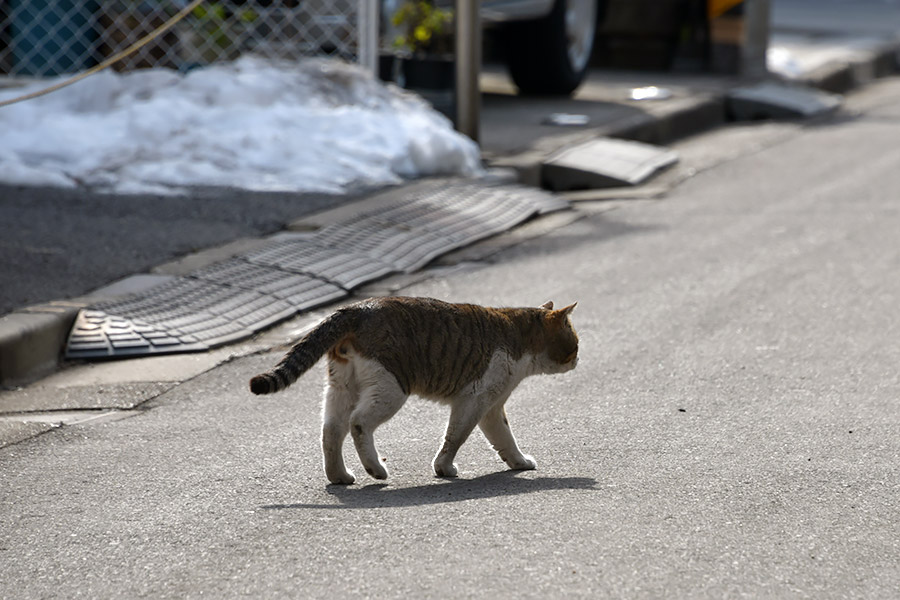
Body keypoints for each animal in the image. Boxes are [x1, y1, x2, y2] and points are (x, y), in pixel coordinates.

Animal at [250, 296, 580, 482]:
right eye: (575, 344)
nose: (579, 358)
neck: (517, 335)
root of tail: (357, 307)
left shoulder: (491, 408)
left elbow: (505, 439)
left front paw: (519, 463)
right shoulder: (474, 400)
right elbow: (455, 437)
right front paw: (444, 468)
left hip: (341, 387)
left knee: (331, 431)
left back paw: (339, 476)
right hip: (391, 388)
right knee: (358, 423)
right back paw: (375, 469)